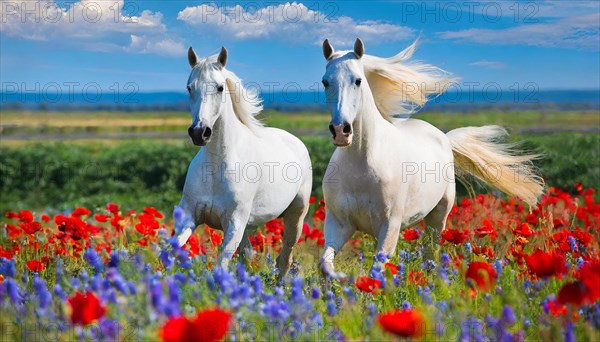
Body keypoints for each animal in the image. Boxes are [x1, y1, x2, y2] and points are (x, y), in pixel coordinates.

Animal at [175, 47, 312, 278]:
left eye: (220, 87)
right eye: (189, 87)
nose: (199, 132)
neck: (216, 167)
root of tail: (295, 140)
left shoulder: (235, 222)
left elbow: (221, 264)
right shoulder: (191, 215)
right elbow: (173, 248)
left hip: (296, 216)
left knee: (284, 258)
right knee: (249, 257)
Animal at [318, 38, 544, 278]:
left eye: (358, 81)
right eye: (325, 82)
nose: (341, 131)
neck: (362, 164)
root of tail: (443, 137)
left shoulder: (389, 226)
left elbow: (375, 271)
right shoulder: (338, 223)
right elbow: (325, 264)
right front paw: (342, 279)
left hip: (439, 217)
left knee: (430, 253)